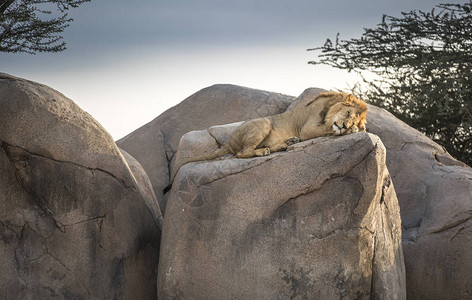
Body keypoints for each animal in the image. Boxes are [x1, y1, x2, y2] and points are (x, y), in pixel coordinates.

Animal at [168, 90, 366, 186]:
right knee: (241, 153)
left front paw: (356, 129)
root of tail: (231, 139)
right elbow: (327, 129)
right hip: (264, 123)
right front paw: (349, 130)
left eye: (353, 119)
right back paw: (264, 151)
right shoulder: (307, 130)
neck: (330, 105)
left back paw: (286, 143)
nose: (346, 125)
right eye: (348, 113)